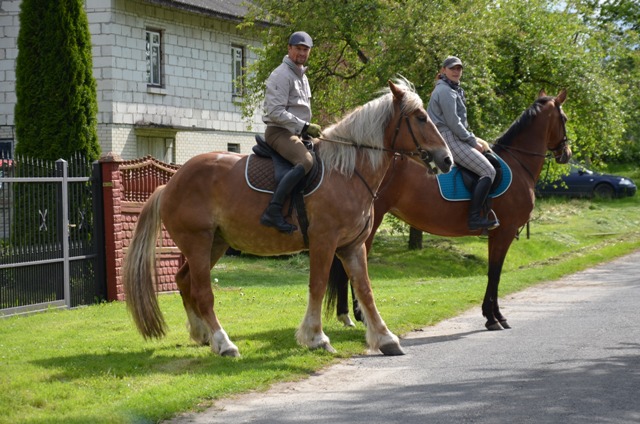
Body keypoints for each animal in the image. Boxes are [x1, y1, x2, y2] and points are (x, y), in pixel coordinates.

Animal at [125, 78, 452, 356]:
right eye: (420, 117)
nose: (446, 159)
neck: (346, 173)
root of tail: (170, 183)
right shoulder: (324, 242)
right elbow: (317, 285)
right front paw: (316, 337)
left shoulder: (352, 246)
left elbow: (365, 290)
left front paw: (385, 338)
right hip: (198, 242)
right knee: (203, 292)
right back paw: (224, 343)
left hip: (214, 244)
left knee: (184, 281)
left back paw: (203, 335)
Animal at [328, 88, 572, 330]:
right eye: (565, 118)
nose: (567, 153)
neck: (519, 164)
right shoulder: (505, 232)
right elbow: (495, 273)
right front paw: (495, 317)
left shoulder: (497, 234)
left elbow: (493, 272)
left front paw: (492, 315)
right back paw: (360, 315)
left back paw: (347, 315)